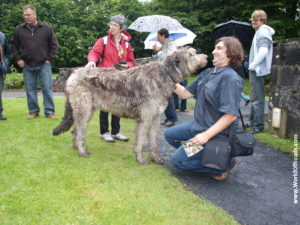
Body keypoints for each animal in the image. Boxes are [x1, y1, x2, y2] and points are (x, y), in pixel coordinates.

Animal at [52, 48, 206, 163]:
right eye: (191, 54)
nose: (205, 56)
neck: (164, 75)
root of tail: (73, 75)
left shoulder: (155, 119)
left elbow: (153, 141)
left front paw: (155, 158)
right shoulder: (145, 118)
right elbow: (141, 140)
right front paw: (140, 158)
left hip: (86, 110)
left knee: (75, 130)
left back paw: (76, 147)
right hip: (84, 109)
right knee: (79, 131)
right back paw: (82, 151)